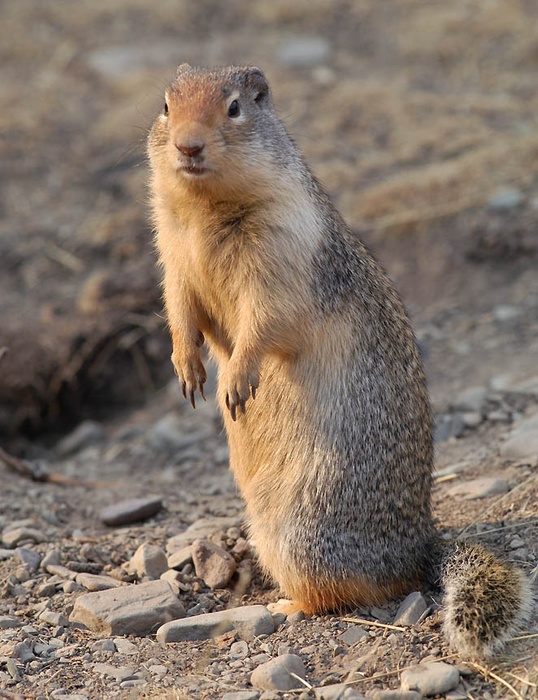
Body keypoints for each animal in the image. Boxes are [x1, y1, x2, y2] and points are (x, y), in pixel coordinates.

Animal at [147, 64, 533, 658]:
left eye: (236, 107)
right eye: (166, 105)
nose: (188, 146)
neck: (204, 209)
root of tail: (421, 545)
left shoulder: (281, 260)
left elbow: (264, 321)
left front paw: (236, 381)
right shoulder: (174, 256)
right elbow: (180, 309)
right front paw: (187, 368)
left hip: (303, 531)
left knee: (339, 593)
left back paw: (284, 605)